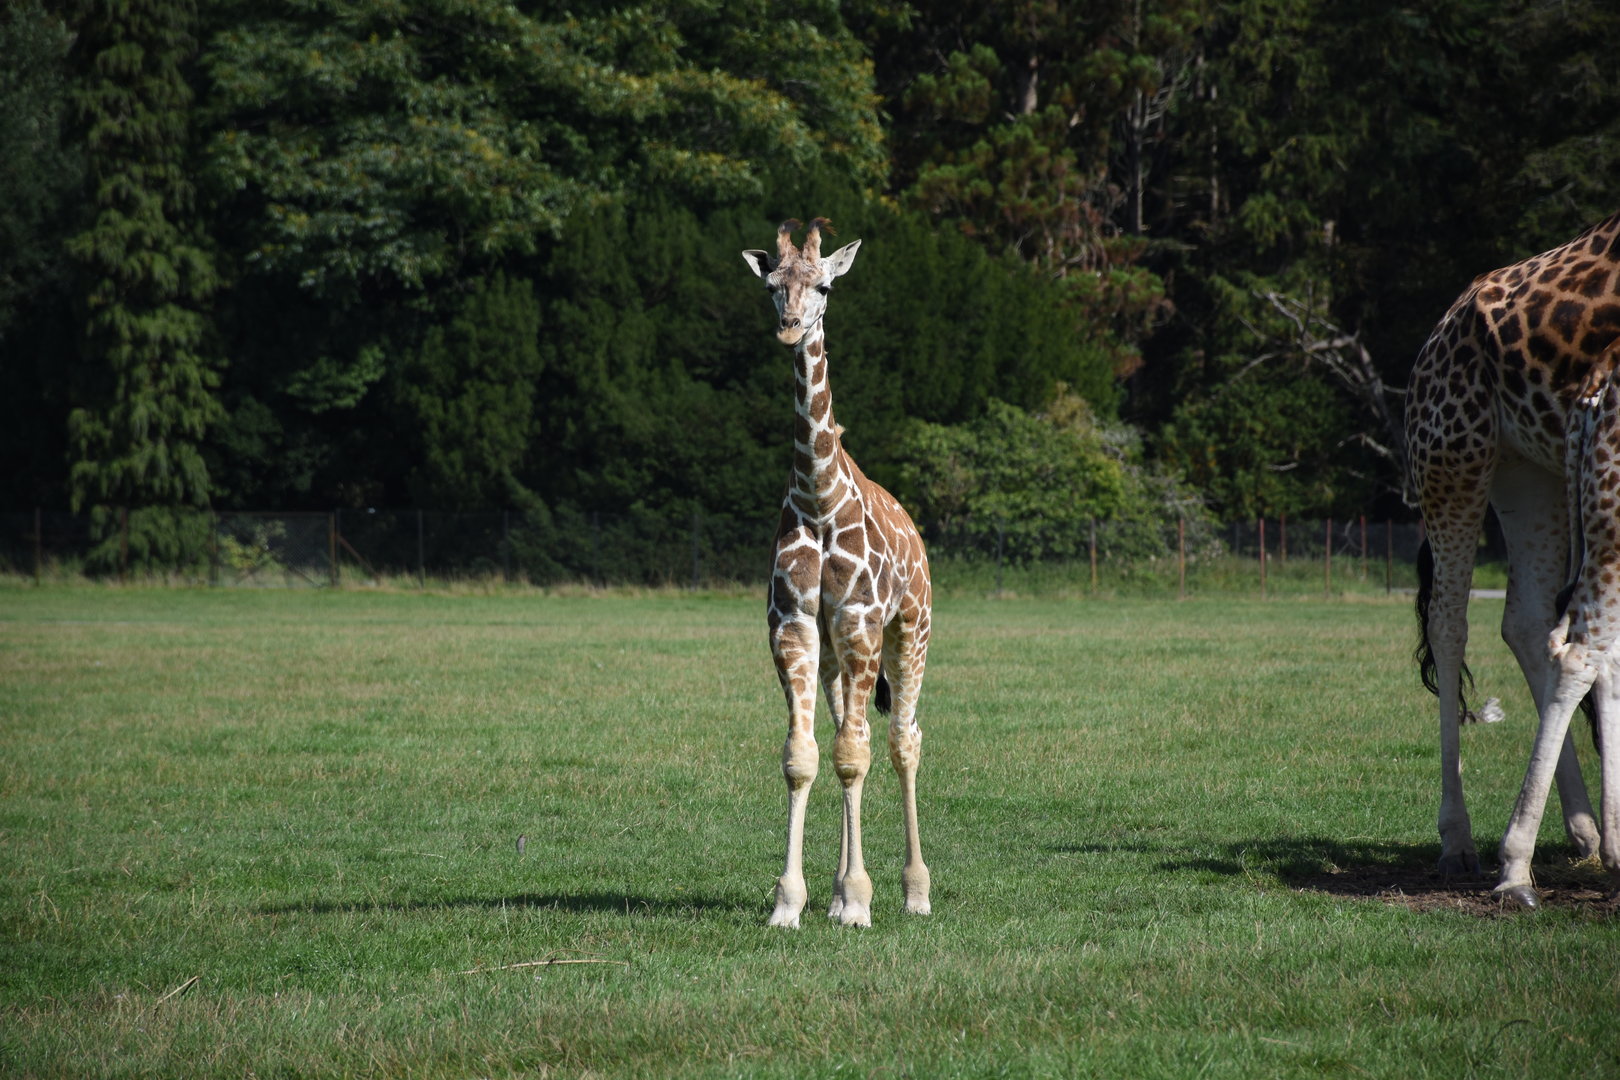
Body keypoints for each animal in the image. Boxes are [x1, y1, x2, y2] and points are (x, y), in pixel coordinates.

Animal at [741, 218, 933, 928]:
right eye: (772, 284)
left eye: (823, 285)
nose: (791, 326)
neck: (819, 498)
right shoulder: (795, 626)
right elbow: (805, 758)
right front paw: (792, 902)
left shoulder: (859, 622)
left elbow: (857, 757)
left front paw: (857, 901)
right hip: (834, 656)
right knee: (854, 738)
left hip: (908, 630)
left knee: (902, 740)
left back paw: (913, 891)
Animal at [1406, 211, 1620, 876]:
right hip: (1458, 458)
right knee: (1450, 621)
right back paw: (1462, 841)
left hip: (1531, 471)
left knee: (1531, 621)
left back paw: (1586, 833)